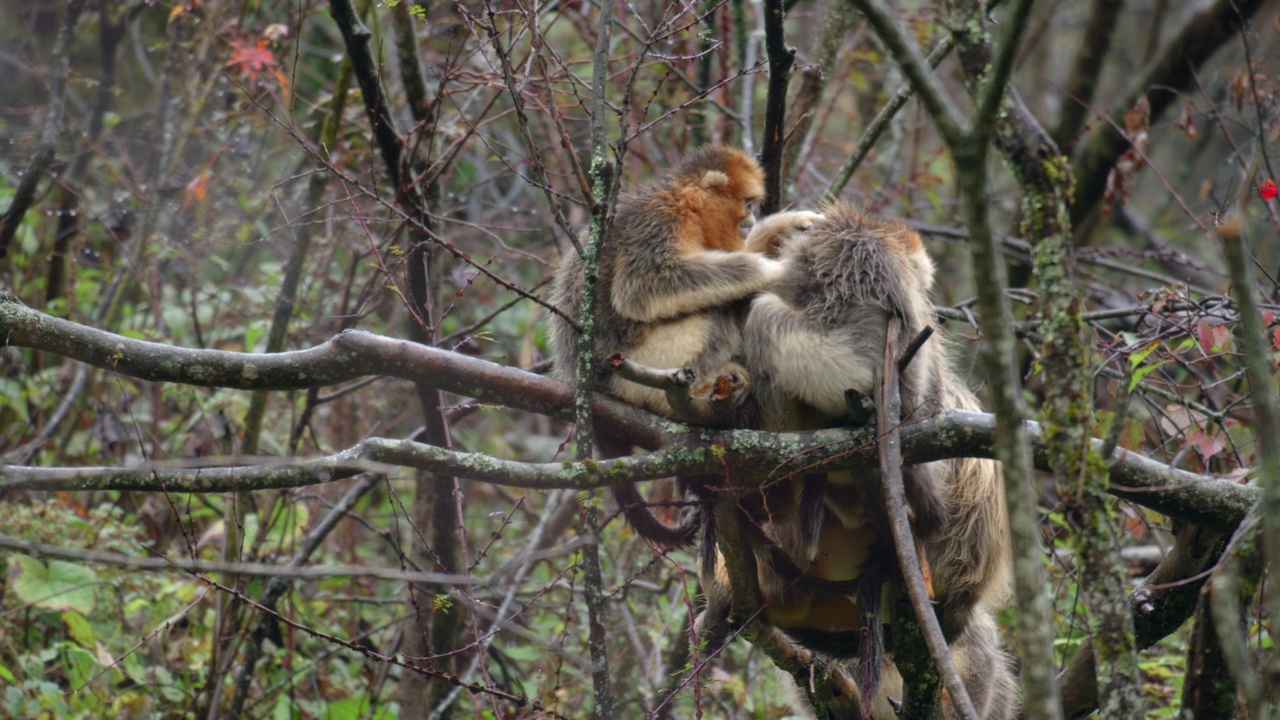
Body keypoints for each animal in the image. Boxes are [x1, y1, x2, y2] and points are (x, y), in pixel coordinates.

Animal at [547, 146, 819, 545]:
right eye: (747, 203)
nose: (751, 221)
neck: (681, 204)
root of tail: (589, 384)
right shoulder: (657, 224)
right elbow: (645, 287)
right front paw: (771, 269)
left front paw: (781, 227)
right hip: (635, 368)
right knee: (713, 309)